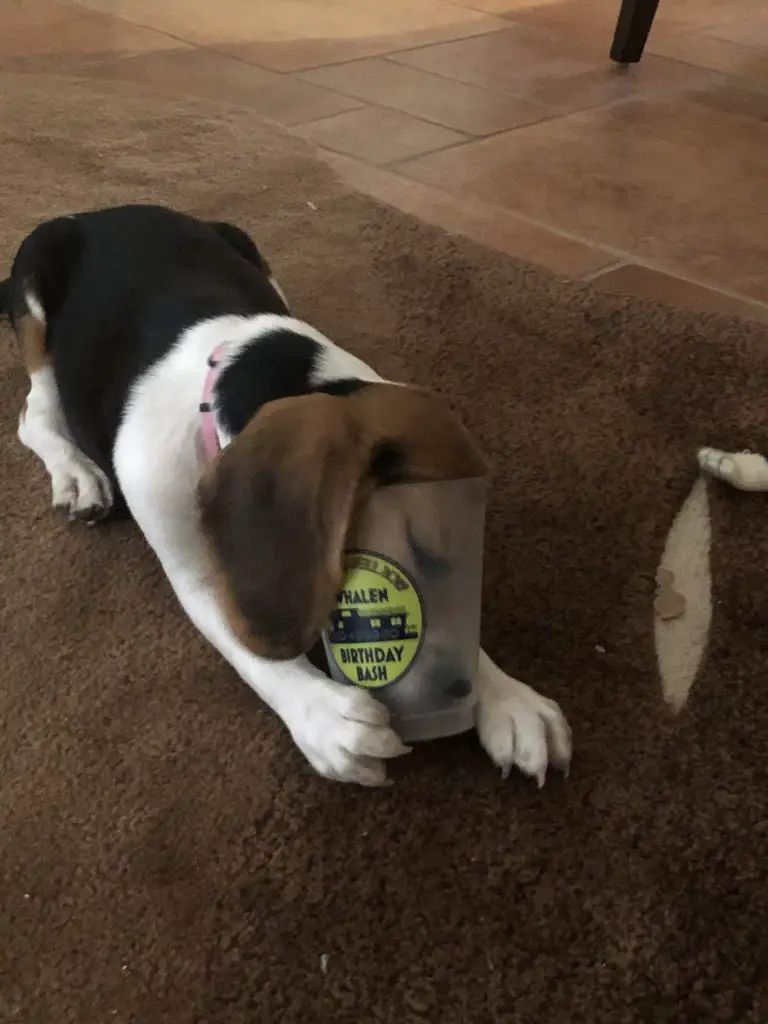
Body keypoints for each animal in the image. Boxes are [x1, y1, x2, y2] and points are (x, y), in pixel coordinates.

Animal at [1, 203, 573, 786]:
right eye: (422, 545)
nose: (458, 690)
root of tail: (102, 210)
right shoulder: (191, 558)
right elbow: (255, 649)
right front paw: (325, 715)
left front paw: (508, 698)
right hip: (36, 291)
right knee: (36, 415)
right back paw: (76, 473)